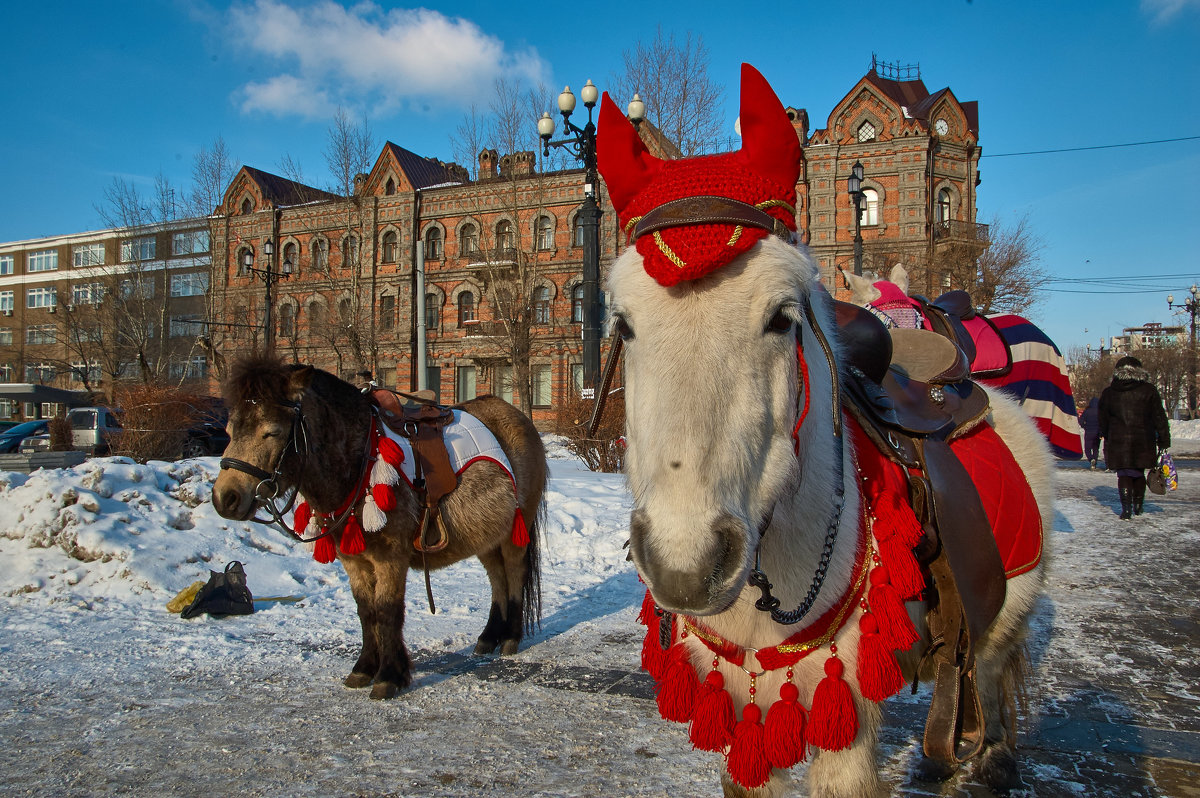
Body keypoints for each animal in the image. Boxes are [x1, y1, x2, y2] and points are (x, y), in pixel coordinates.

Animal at [211, 355, 544, 696]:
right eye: (229, 428)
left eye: (273, 432)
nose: (226, 497)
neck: (359, 458)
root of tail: (517, 417)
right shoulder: (354, 560)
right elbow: (366, 611)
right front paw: (364, 668)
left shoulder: (390, 559)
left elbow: (387, 611)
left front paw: (389, 676)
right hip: (487, 534)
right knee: (497, 578)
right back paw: (489, 636)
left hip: (514, 532)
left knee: (513, 574)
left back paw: (510, 638)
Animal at [600, 65, 1051, 792]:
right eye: (624, 323)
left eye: (782, 317)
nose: (685, 561)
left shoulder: (849, 718)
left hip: (1010, 605)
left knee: (990, 670)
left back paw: (997, 755)